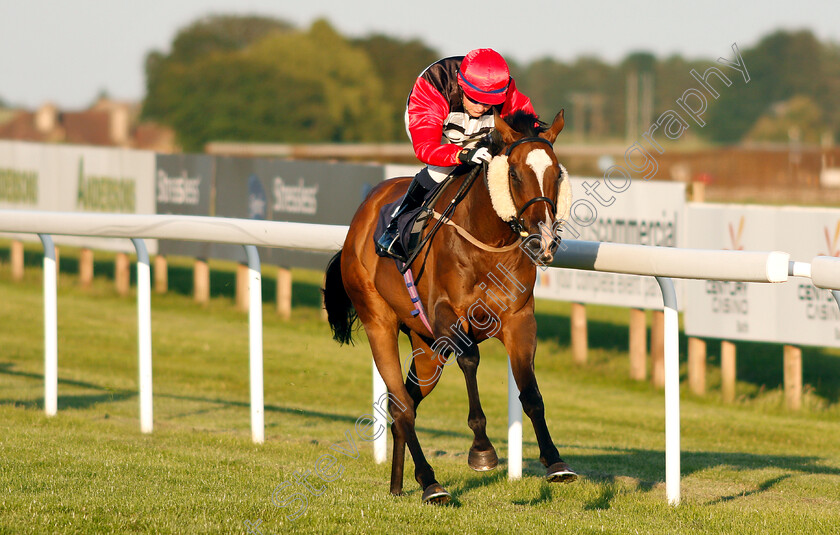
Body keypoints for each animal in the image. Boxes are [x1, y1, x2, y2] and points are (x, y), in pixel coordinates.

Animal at [324, 110, 576, 506]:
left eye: (557, 174)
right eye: (515, 174)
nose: (543, 241)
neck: (488, 242)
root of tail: (358, 224)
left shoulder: (519, 320)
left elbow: (531, 392)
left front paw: (555, 461)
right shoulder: (446, 314)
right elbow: (470, 358)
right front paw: (482, 450)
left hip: (427, 347)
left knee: (407, 402)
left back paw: (399, 484)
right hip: (379, 320)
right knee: (401, 404)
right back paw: (431, 483)